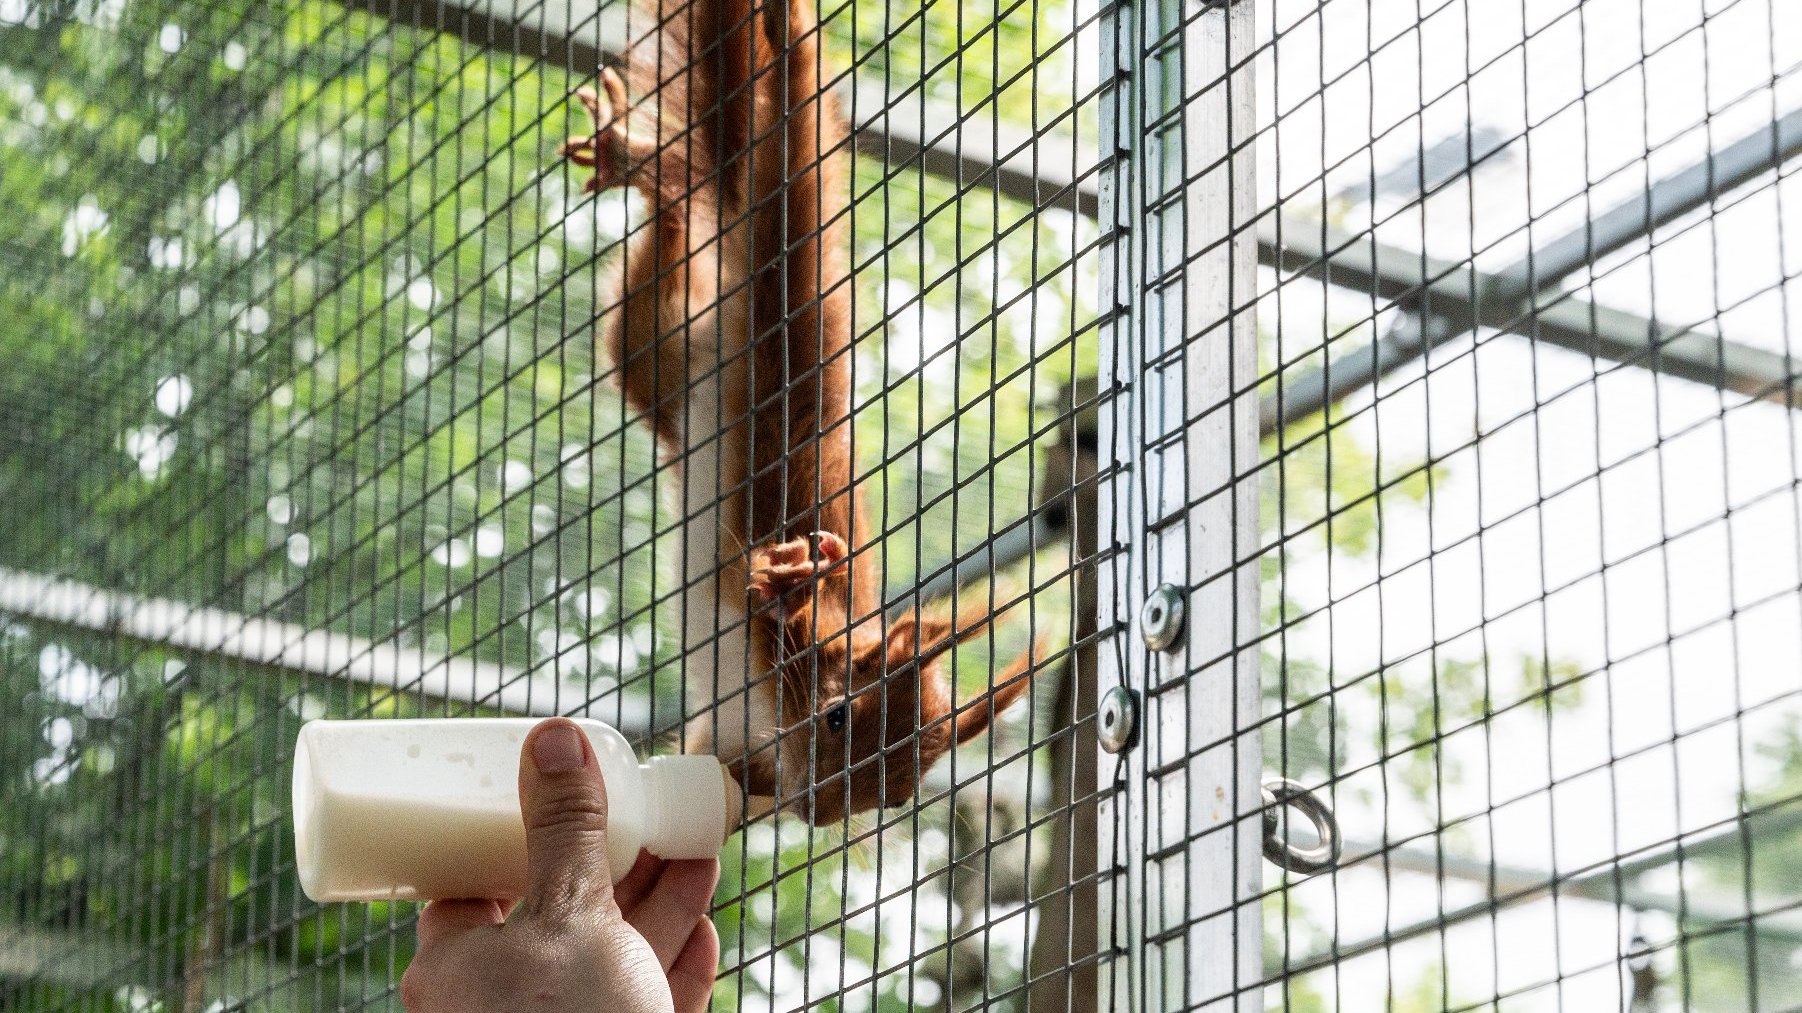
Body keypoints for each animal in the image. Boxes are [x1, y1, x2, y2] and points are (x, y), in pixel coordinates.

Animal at [562, 0, 1037, 821]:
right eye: (838, 716)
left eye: (892, 795)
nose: (813, 812)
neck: (765, 717)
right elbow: (790, 598)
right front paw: (790, 589)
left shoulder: (736, 756)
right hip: (771, 284)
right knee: (785, 150)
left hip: (657, 358)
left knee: (668, 261)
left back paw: (653, 172)